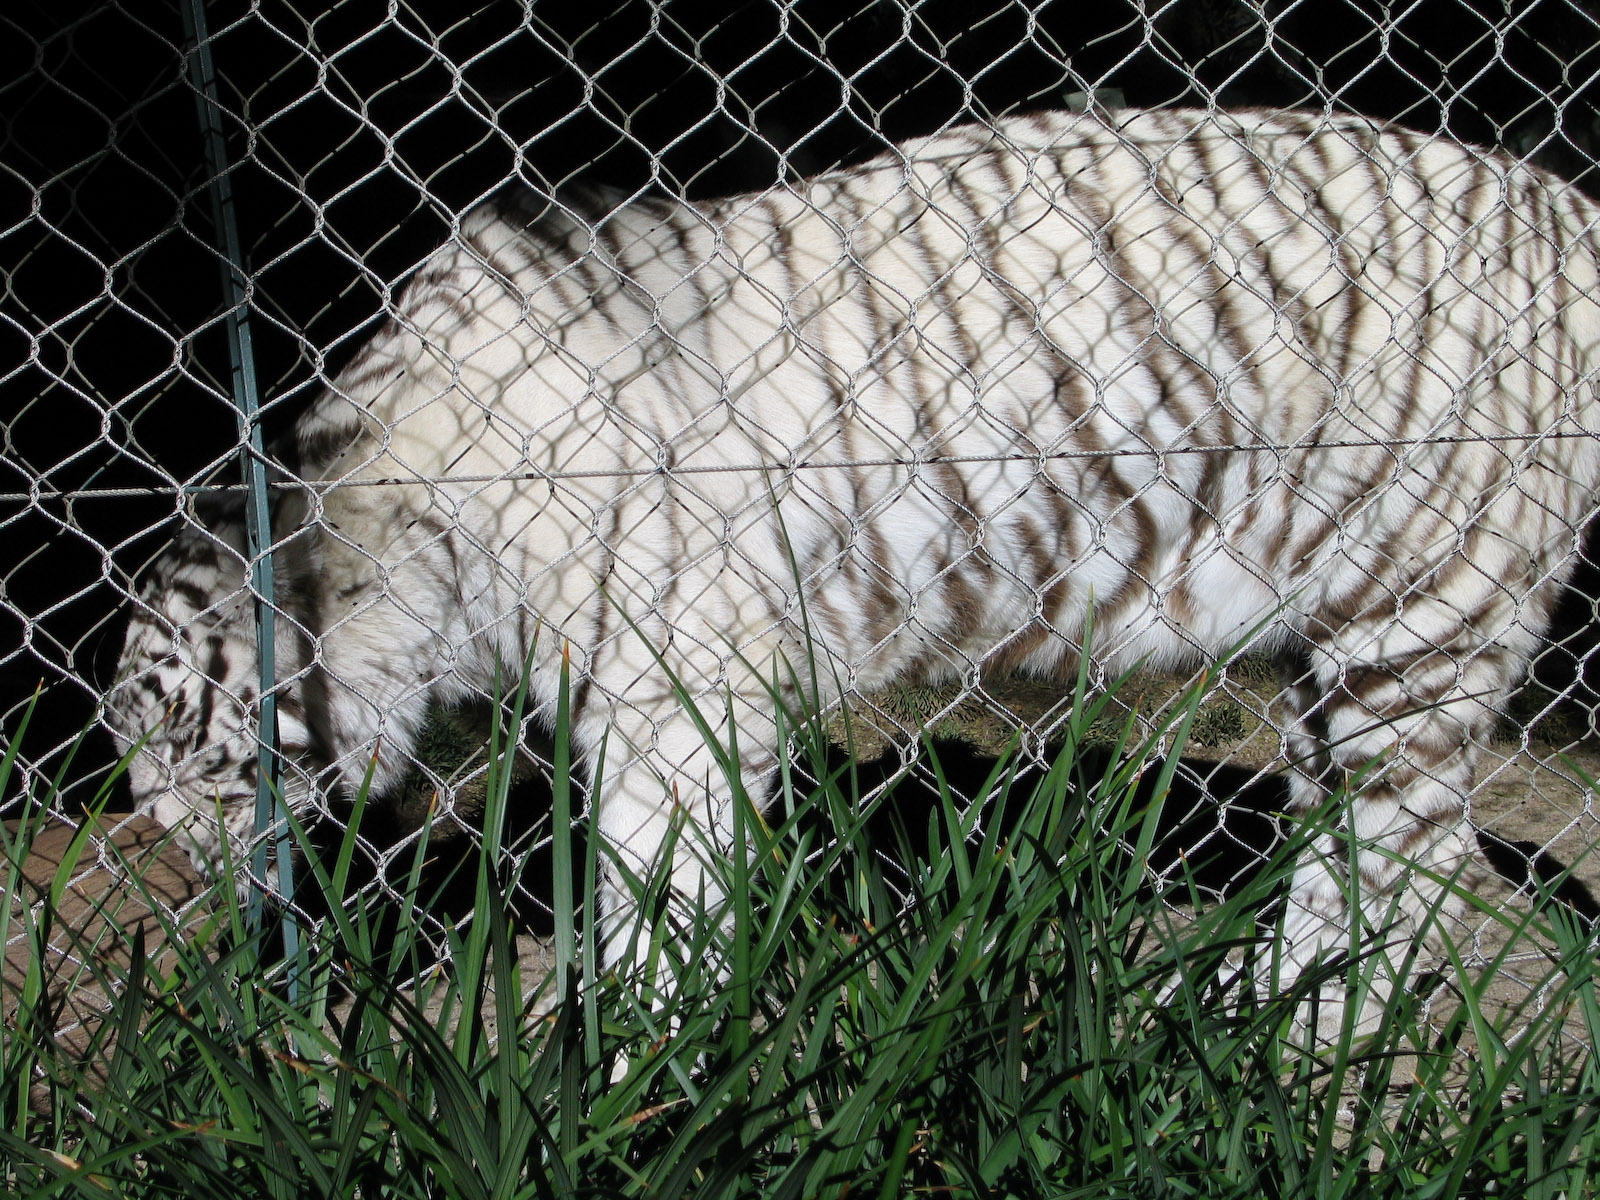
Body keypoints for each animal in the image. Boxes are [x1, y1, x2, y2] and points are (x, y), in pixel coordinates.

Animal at [106, 106, 1600, 1031]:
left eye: (196, 755)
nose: (167, 875)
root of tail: (1569, 204)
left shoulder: (675, 713)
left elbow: (661, 913)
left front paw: (638, 1072)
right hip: (1323, 660)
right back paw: (1240, 1012)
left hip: (1423, 620)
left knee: (1407, 870)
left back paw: (1301, 1055)